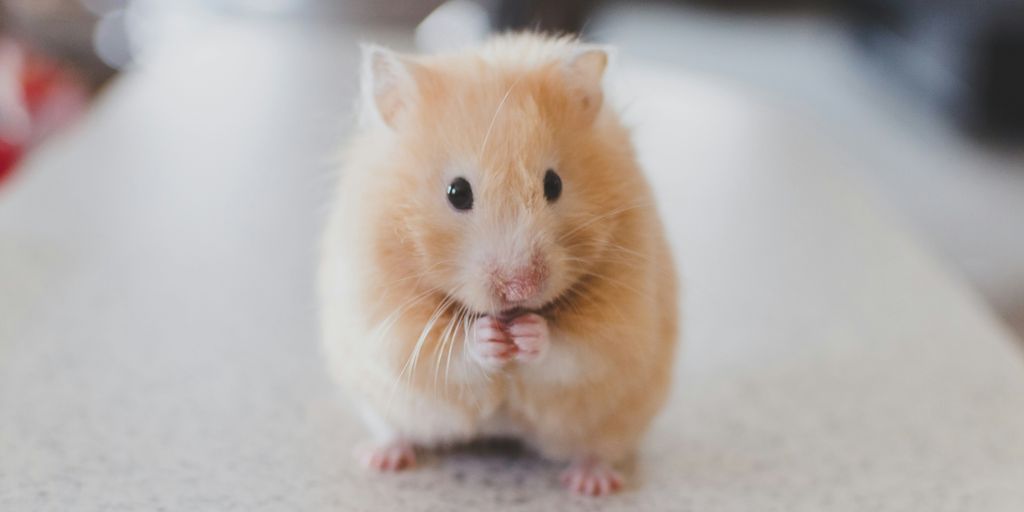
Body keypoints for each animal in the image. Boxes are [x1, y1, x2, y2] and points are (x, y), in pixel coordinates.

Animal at [318, 33, 679, 496]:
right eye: (457, 192)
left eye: (554, 184)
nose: (520, 288)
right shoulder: (386, 320)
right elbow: (444, 351)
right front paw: (490, 337)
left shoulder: (621, 323)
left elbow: (574, 350)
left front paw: (528, 334)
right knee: (395, 430)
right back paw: (381, 458)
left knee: (596, 448)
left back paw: (592, 483)